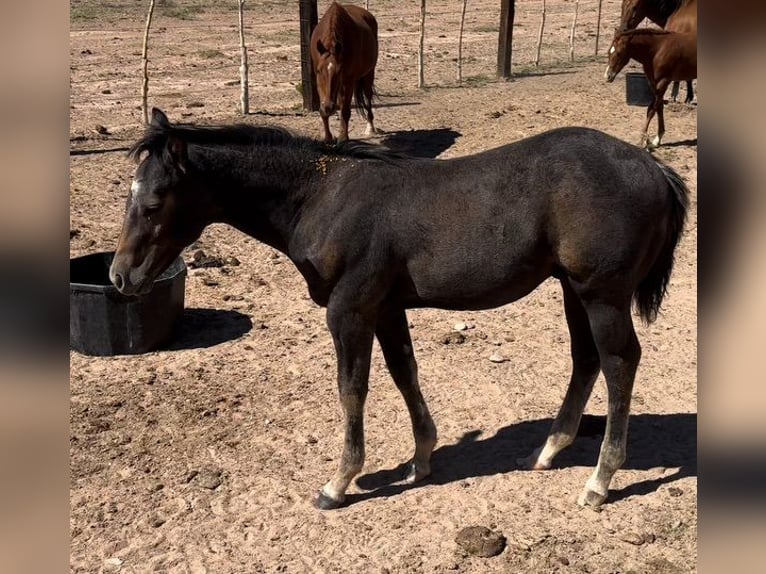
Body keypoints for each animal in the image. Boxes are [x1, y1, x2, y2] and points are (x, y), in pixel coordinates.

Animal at [111, 109, 692, 512]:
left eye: (155, 202)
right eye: (128, 194)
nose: (120, 277)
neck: (322, 196)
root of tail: (653, 166)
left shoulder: (349, 311)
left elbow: (352, 389)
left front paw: (338, 483)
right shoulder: (387, 308)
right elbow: (404, 373)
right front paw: (421, 460)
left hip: (601, 294)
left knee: (618, 363)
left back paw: (599, 482)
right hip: (574, 290)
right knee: (586, 360)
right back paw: (547, 453)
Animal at [310, 1, 380, 143]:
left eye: (339, 71)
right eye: (319, 71)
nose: (328, 107)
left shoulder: (348, 81)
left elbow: (345, 110)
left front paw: (343, 137)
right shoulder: (318, 80)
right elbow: (324, 111)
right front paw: (328, 137)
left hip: (369, 73)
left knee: (367, 97)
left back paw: (370, 127)